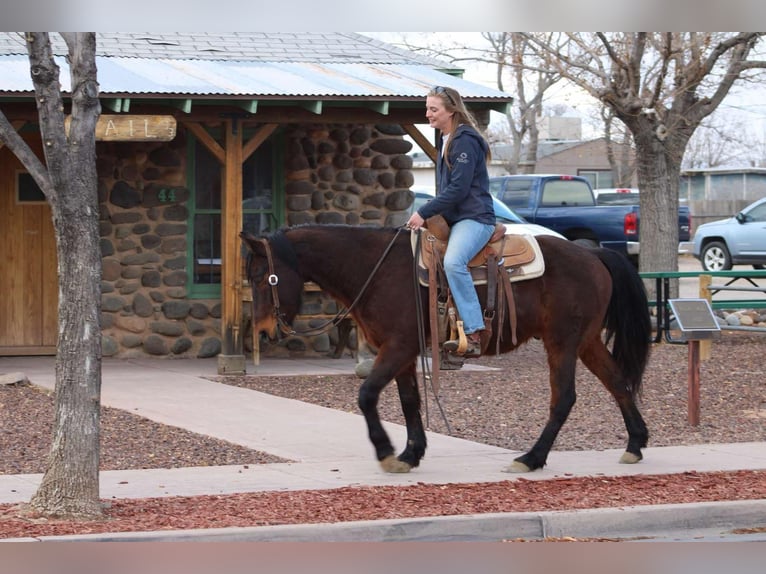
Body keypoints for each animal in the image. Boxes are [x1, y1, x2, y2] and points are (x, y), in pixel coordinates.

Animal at [240, 224, 652, 474]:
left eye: (262, 276)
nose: (262, 331)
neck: (376, 269)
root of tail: (593, 255)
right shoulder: (403, 352)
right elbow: (409, 401)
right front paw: (410, 453)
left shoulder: (398, 346)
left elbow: (367, 394)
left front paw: (386, 452)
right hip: (586, 341)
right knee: (617, 382)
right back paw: (635, 444)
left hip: (562, 342)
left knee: (564, 397)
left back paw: (531, 458)